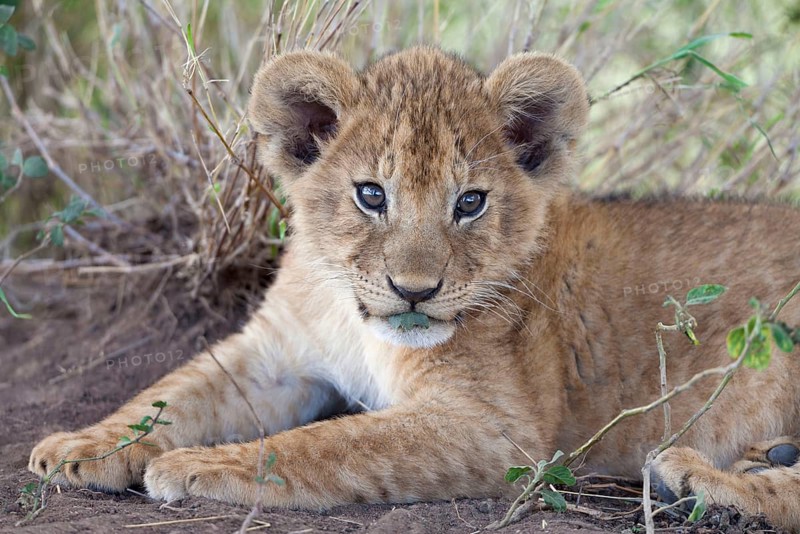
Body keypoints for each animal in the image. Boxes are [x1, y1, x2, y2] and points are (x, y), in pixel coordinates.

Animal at [29, 47, 800, 530]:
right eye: (371, 195)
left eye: (470, 203)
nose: (415, 291)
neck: (352, 316)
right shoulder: (272, 356)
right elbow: (170, 391)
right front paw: (77, 449)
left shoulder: (498, 430)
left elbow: (328, 445)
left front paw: (191, 464)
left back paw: (702, 486)